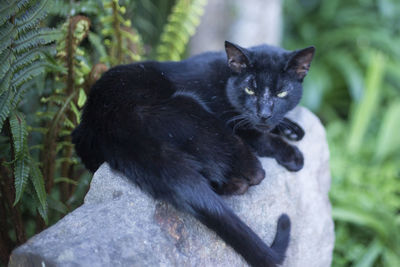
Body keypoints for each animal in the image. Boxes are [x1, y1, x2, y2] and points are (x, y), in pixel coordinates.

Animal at [73, 40, 314, 266]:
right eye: (250, 90)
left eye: (281, 92)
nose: (264, 114)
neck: (225, 79)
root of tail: (116, 126)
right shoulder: (233, 123)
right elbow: (261, 137)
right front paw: (292, 154)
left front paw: (292, 128)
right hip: (195, 110)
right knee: (254, 174)